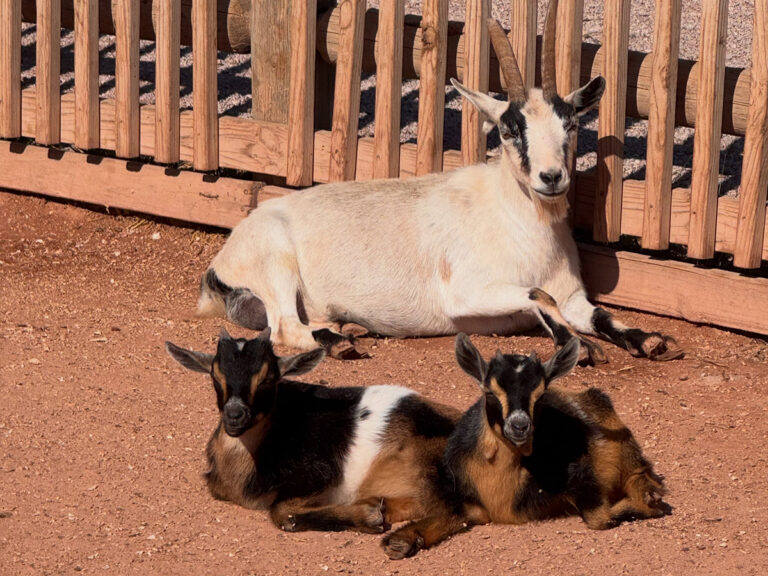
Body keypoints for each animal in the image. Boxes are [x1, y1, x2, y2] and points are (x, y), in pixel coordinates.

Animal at [165, 328, 460, 534]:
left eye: (268, 379)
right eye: (215, 376)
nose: (234, 415)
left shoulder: (319, 475)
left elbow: (282, 512)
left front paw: (369, 516)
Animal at [195, 0, 681, 363]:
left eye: (572, 124)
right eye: (509, 129)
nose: (551, 177)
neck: (520, 225)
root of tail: (222, 262)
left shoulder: (574, 295)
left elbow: (597, 315)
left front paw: (653, 340)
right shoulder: (466, 293)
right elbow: (539, 295)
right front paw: (577, 348)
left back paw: (347, 326)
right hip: (275, 264)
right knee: (284, 328)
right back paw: (340, 343)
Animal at [381, 333, 670, 559]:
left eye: (540, 395)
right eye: (489, 392)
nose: (519, 426)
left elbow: (599, 518)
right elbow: (450, 512)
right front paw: (399, 538)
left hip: (625, 447)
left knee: (641, 471)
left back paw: (650, 494)